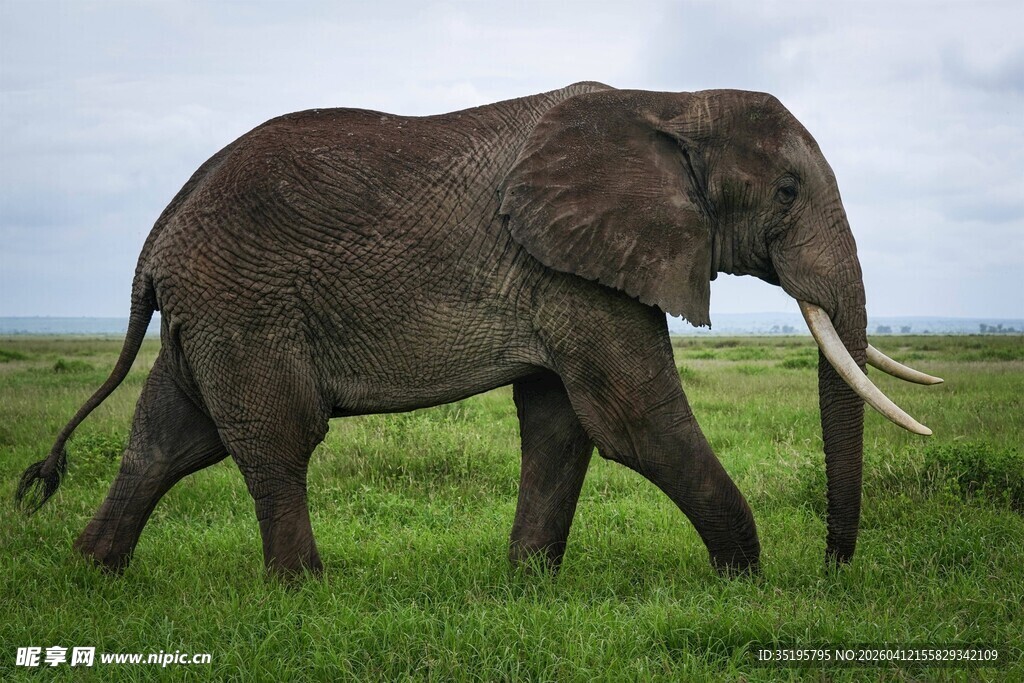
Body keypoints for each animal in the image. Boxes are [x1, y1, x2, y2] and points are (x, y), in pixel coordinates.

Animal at [17, 82, 941, 578]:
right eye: (786, 191)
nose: (832, 563)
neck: (670, 103)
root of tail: (155, 240)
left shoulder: (562, 269)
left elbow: (562, 423)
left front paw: (528, 585)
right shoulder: (571, 268)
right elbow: (635, 421)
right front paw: (745, 579)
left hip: (208, 316)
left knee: (166, 440)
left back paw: (91, 572)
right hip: (246, 307)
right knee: (274, 440)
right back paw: (304, 592)